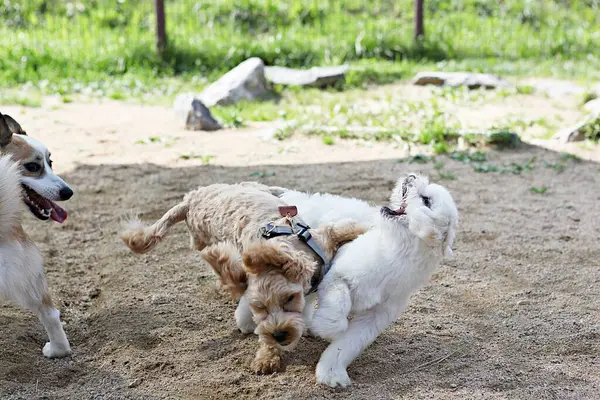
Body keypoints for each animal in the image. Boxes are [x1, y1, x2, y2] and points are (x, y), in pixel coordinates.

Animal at [274, 174, 458, 388]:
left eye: (426, 200)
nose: (411, 177)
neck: (394, 249)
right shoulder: (336, 277)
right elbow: (339, 309)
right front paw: (325, 328)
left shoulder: (374, 318)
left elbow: (347, 345)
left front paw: (331, 373)